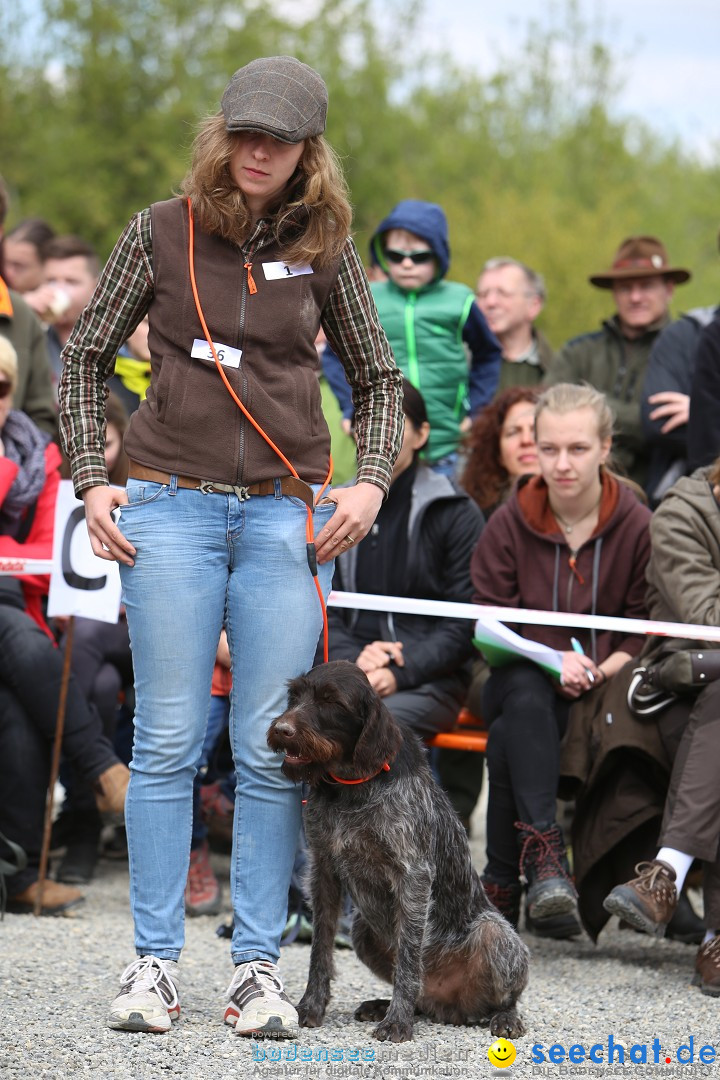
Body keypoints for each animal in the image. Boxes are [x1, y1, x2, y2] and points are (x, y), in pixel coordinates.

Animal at [267, 660, 533, 1041]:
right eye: (295, 695)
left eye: (331, 701)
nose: (282, 729)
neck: (353, 785)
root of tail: (450, 1007)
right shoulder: (324, 873)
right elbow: (320, 950)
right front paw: (310, 1007)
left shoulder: (413, 875)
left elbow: (408, 957)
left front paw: (397, 1022)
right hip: (362, 928)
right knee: (417, 992)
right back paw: (384, 1004)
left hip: (495, 934)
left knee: (504, 995)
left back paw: (504, 1017)